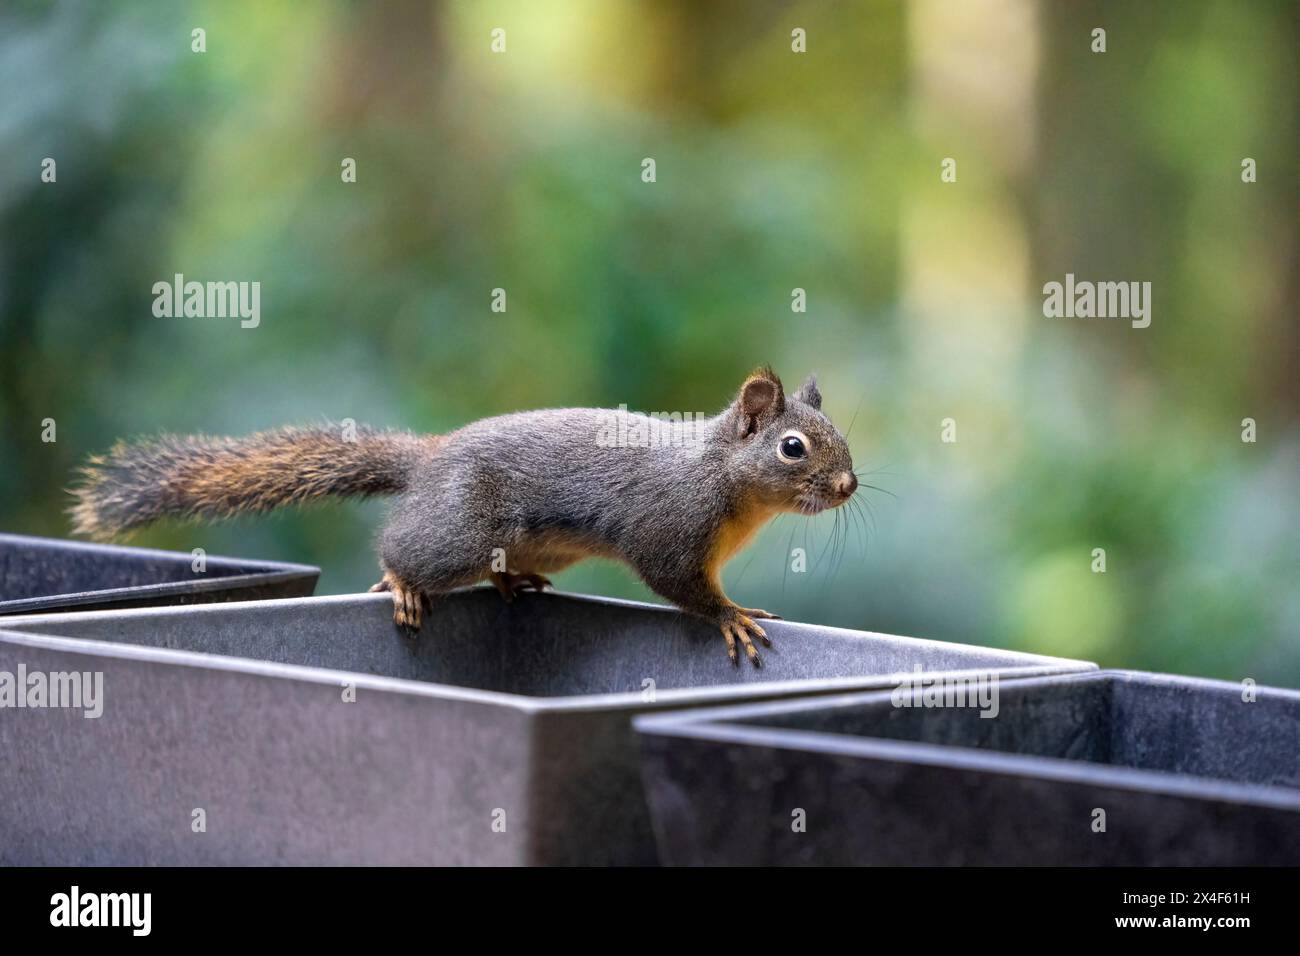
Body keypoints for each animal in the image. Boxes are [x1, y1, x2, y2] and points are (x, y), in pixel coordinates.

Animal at [70, 366, 858, 666]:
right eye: (792, 447)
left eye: (837, 436)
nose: (850, 485)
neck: (724, 478)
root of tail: (430, 460)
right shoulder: (671, 528)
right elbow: (682, 585)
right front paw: (732, 616)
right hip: (462, 533)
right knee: (404, 548)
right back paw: (401, 582)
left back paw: (512, 584)